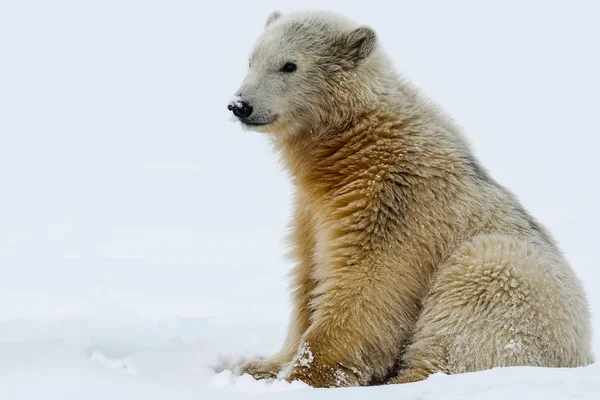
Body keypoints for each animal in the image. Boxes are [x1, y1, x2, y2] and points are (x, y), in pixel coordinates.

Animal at [227, 10, 592, 388]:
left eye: (289, 65)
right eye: (251, 59)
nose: (240, 105)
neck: (357, 142)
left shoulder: (393, 197)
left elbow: (367, 283)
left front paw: (302, 377)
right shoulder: (312, 209)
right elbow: (309, 275)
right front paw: (260, 366)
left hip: (509, 283)